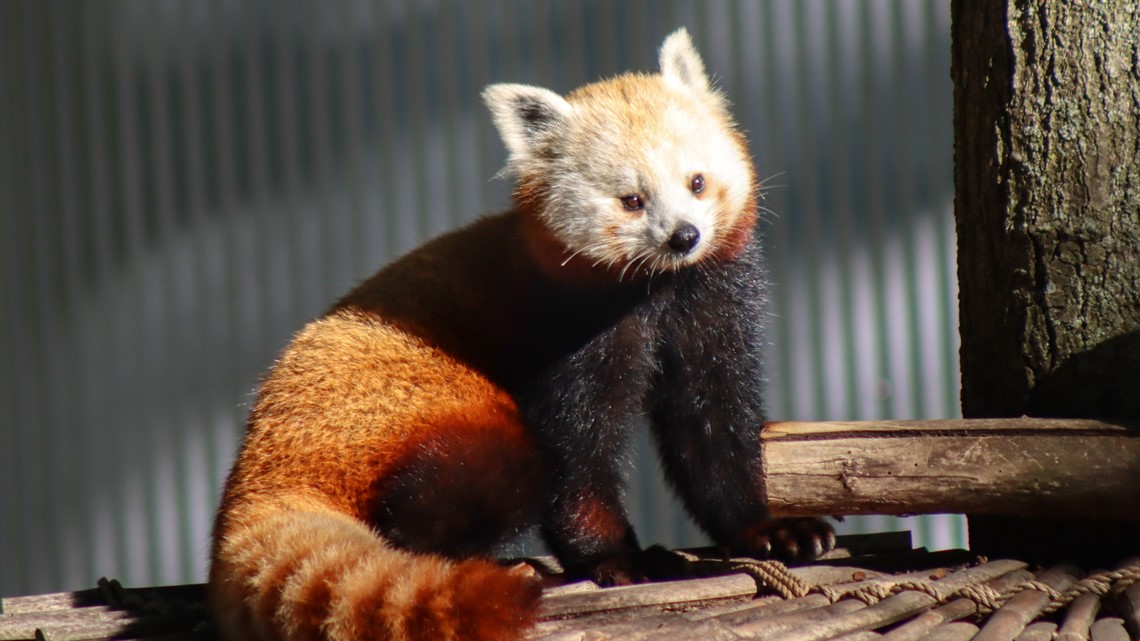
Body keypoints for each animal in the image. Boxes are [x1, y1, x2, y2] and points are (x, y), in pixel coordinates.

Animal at [209, 28, 834, 638]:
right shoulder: (562, 330)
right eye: (632, 201)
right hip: (412, 418)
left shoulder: (710, 304)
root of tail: (258, 475)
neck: (655, 291)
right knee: (490, 475)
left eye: (697, 183)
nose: (684, 236)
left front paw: (769, 529)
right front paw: (616, 557)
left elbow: (709, 424)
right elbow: (574, 452)